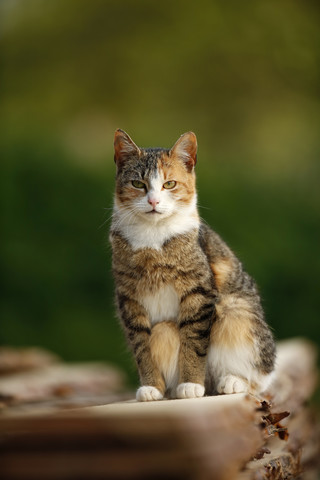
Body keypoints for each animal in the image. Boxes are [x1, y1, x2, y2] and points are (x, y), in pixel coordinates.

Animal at [110, 127, 276, 402]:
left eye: (169, 184)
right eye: (138, 184)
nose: (153, 202)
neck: (152, 236)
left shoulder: (198, 293)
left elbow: (193, 341)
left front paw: (190, 384)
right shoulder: (129, 300)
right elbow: (142, 347)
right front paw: (151, 387)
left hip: (236, 310)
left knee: (261, 376)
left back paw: (232, 381)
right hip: (165, 328)